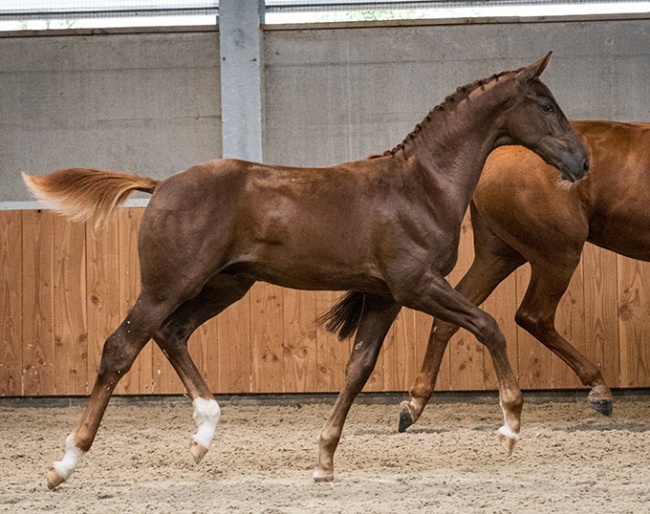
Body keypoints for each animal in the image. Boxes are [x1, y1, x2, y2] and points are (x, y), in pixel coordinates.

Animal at [24, 53, 588, 488]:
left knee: (172, 333)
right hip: (168, 286)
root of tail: (161, 184)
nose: (582, 162)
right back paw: (64, 463)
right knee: (121, 347)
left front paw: (324, 460)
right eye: (547, 106)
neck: (422, 187)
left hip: (225, 285)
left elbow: (359, 368)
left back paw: (203, 433)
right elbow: (488, 326)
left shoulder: (385, 295)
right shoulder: (417, 284)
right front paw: (510, 426)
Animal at [394, 118, 648, 430]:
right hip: (557, 255)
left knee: (450, 320)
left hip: (498, 256)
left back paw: (413, 405)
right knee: (533, 316)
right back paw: (599, 390)